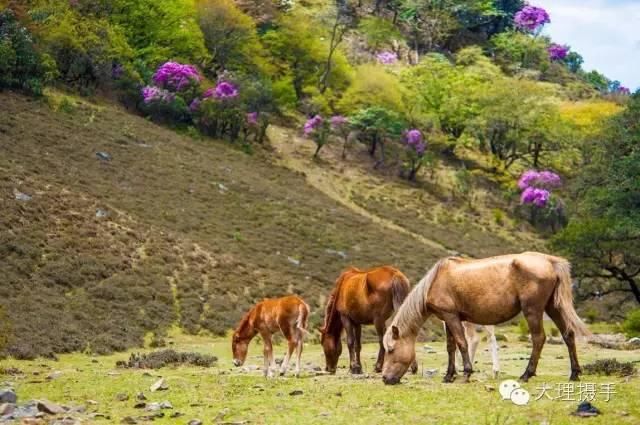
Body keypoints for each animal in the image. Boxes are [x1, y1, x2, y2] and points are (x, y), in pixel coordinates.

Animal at [380, 252, 592, 384]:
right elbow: (450, 347)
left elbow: (461, 343)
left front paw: (466, 373)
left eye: (391, 350)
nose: (385, 378)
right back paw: (574, 373)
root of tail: (550, 261)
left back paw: (526, 374)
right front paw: (449, 375)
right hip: (552, 308)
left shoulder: (452, 317)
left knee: (539, 339)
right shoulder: (447, 319)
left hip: (533, 310)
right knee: (568, 334)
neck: (436, 280)